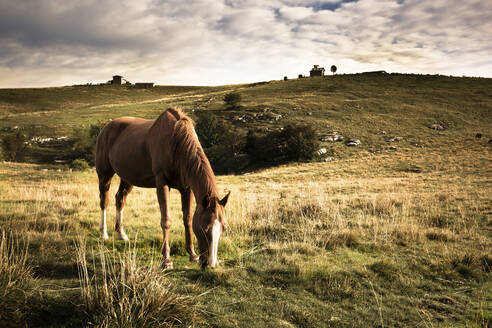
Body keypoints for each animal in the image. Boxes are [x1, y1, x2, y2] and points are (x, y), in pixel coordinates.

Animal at [96, 107, 231, 270]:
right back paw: (104, 234)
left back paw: (121, 234)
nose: (210, 264)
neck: (176, 142)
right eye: (204, 229)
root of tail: (106, 128)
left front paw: (192, 254)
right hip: (104, 174)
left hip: (127, 178)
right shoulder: (162, 183)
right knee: (104, 201)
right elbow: (166, 220)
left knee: (120, 199)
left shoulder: (186, 188)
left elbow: (187, 219)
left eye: (223, 228)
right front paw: (166, 260)